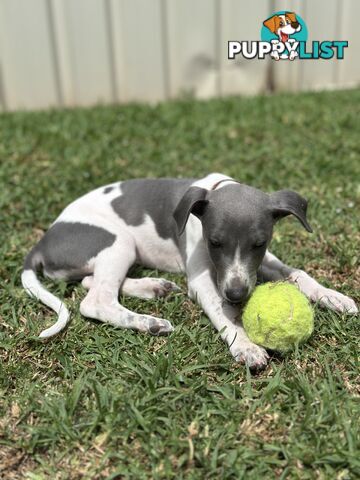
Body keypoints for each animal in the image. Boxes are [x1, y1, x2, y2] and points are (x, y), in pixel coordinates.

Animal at [22, 174, 358, 370]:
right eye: (214, 242)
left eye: (260, 243)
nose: (236, 294)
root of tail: (42, 242)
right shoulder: (203, 281)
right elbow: (223, 314)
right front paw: (246, 346)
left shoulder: (260, 263)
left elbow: (298, 273)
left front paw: (333, 297)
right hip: (118, 241)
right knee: (95, 300)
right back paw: (150, 323)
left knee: (91, 281)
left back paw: (153, 288)